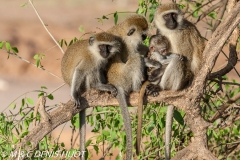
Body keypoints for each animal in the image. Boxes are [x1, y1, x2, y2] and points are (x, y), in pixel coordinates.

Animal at [61, 31, 121, 159]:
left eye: (108, 46)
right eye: (102, 46)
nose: (105, 52)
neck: (94, 52)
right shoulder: (90, 60)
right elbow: (80, 70)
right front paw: (74, 95)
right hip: (84, 85)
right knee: (90, 72)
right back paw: (96, 86)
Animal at [106, 14, 148, 159]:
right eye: (143, 35)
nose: (146, 37)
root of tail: (116, 83)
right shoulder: (128, 44)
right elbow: (131, 55)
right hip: (126, 78)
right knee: (136, 58)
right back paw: (138, 87)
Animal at [153, 2, 205, 160]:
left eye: (174, 15)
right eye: (167, 16)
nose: (172, 21)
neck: (171, 32)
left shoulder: (180, 35)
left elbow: (184, 58)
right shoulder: (161, 33)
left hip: (184, 79)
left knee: (178, 61)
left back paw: (161, 87)